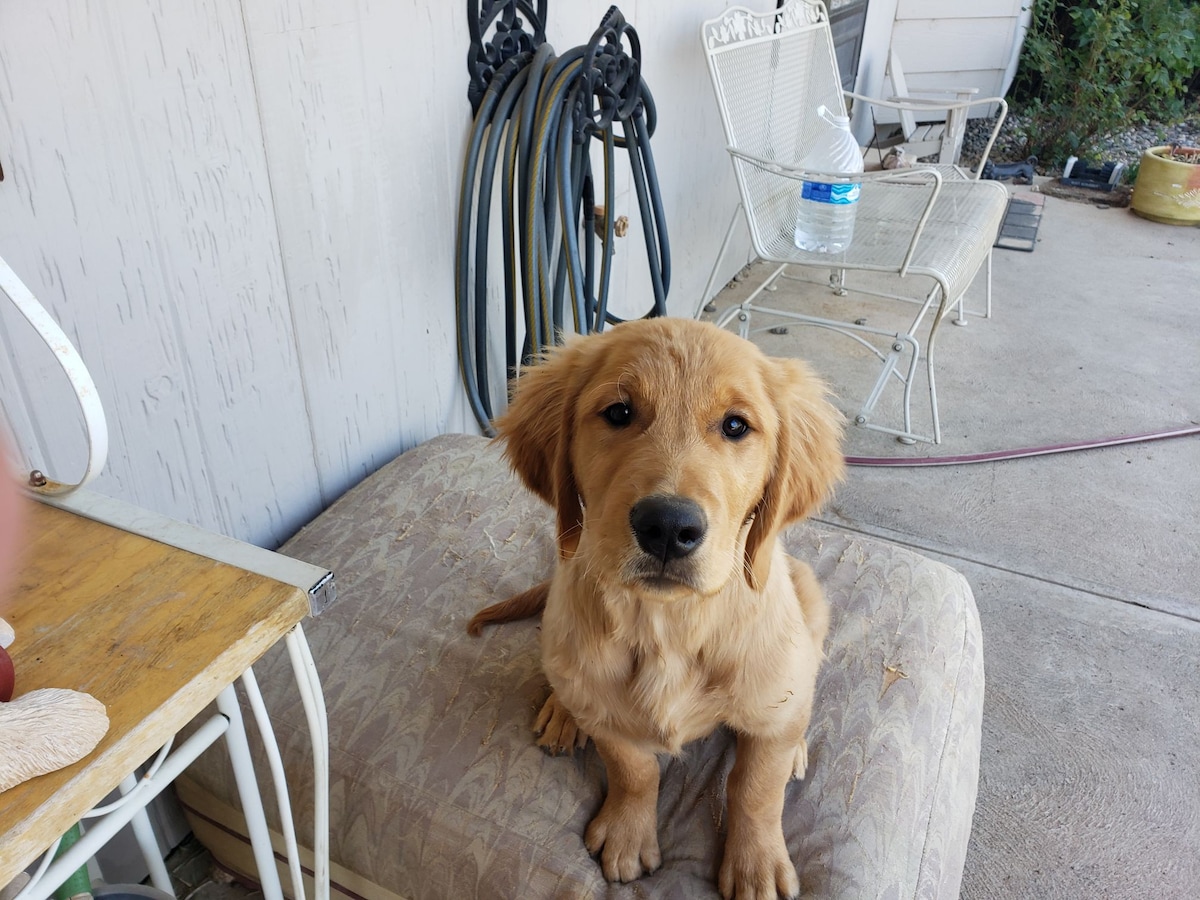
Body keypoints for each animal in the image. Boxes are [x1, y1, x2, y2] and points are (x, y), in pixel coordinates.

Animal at [468, 319, 844, 900]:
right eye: (619, 413)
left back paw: (797, 744)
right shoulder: (606, 711)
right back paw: (561, 712)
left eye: (735, 426)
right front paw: (627, 836)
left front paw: (756, 864)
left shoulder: (770, 701)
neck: (670, 624)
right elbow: (633, 770)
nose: (668, 526)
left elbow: (756, 787)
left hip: (807, 597)